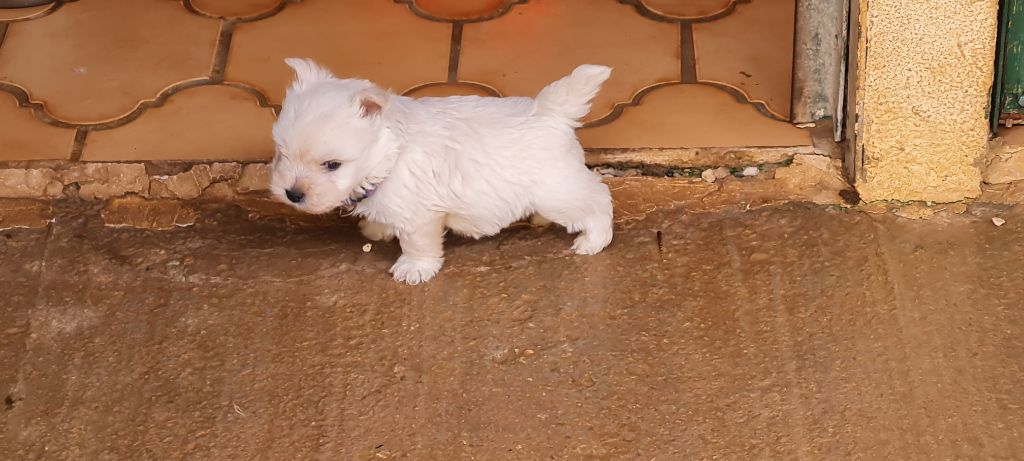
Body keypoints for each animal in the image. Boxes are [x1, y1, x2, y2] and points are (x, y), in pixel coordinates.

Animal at [270, 59, 614, 284]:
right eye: (282, 154)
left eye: (332, 165)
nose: (292, 194)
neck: (391, 153)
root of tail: (550, 112)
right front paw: (377, 228)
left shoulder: (419, 215)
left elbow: (417, 243)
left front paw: (414, 268)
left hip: (557, 191)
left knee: (597, 198)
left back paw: (593, 240)